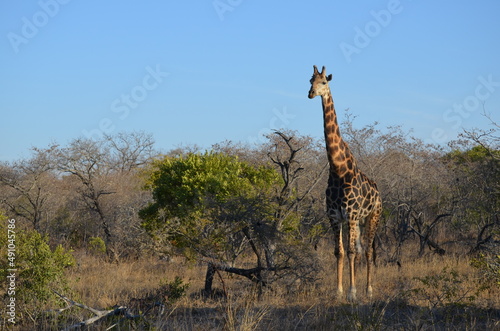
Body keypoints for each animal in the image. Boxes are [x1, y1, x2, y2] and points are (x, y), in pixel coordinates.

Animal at [306, 65, 380, 304]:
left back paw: (369, 290)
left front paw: (352, 292)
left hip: (372, 216)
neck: (338, 169)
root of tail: (378, 191)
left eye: (324, 82)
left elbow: (350, 252)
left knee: (367, 250)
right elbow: (339, 251)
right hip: (359, 221)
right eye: (309, 80)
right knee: (360, 248)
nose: (311, 93)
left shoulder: (352, 214)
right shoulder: (334, 215)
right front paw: (338, 291)